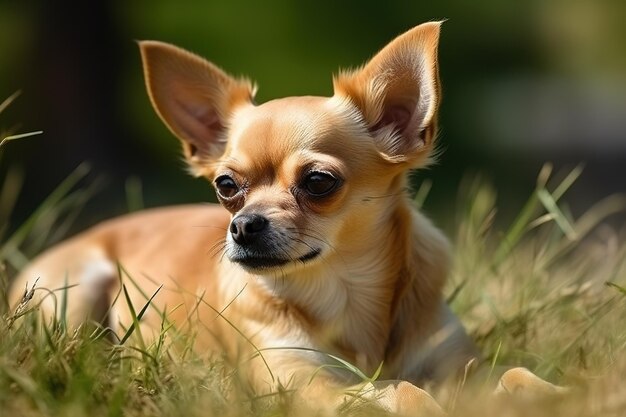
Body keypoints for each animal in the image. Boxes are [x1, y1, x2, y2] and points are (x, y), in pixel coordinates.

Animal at [9, 22, 560, 412]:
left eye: (318, 182)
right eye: (226, 187)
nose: (243, 225)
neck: (344, 289)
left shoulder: (462, 368)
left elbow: (513, 375)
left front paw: (553, 392)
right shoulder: (306, 384)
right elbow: (397, 390)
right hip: (74, 293)